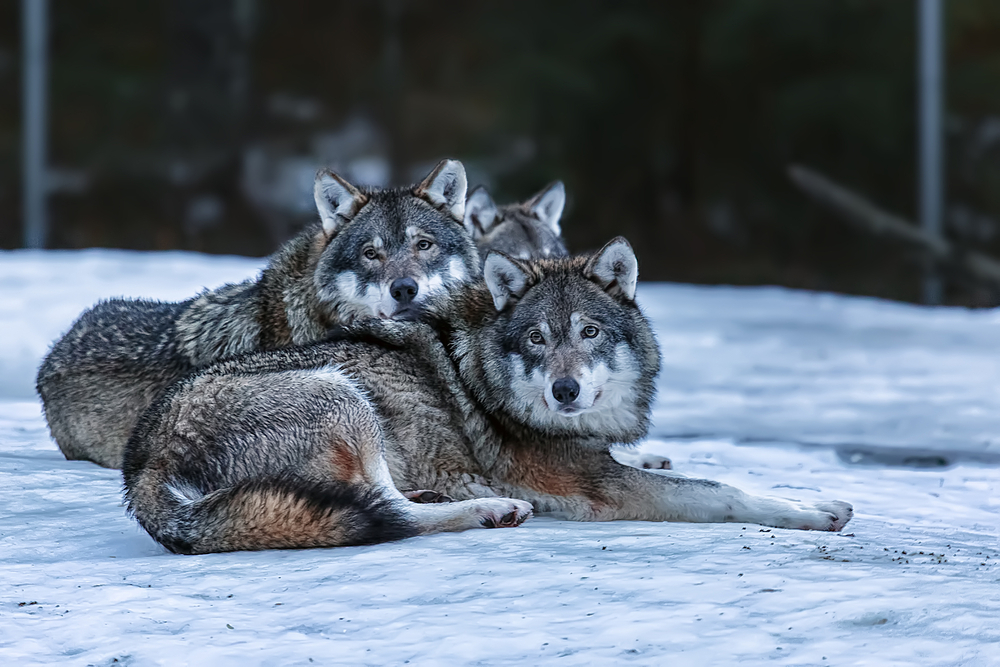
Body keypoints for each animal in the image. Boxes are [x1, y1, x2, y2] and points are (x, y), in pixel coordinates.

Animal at [123, 238, 853, 554]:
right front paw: (816, 510)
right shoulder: (598, 487)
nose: (565, 389)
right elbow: (723, 488)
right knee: (389, 514)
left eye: (588, 332)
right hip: (341, 392)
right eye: (536, 338)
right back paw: (491, 509)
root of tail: (142, 467)